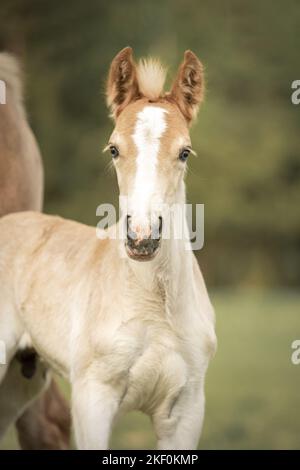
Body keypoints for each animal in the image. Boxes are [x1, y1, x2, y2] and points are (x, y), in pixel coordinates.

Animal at [0, 49, 217, 450]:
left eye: (185, 152)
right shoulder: (93, 399)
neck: (154, 305)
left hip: (20, 381)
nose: (143, 237)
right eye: (114, 149)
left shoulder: (186, 410)